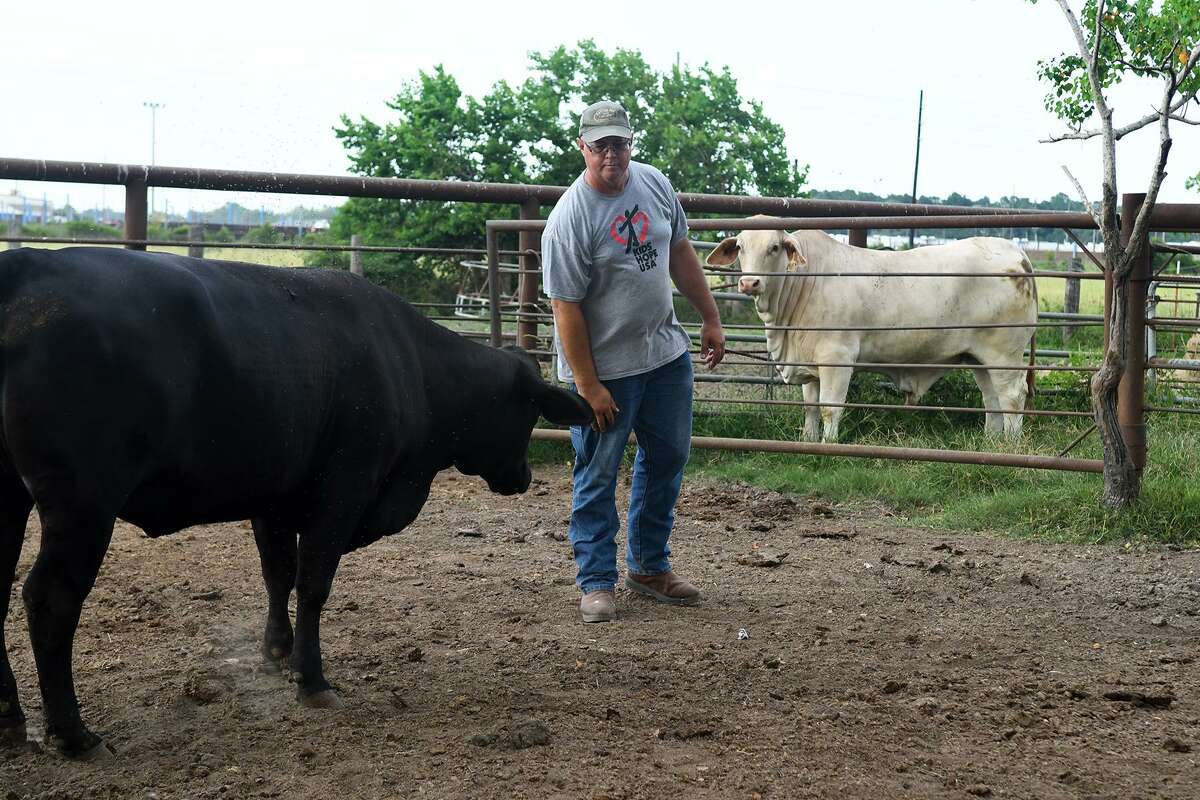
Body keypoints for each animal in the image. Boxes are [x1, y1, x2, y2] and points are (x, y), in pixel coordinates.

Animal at [0, 247, 590, 762]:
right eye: (528, 411)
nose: (524, 477)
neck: (411, 366)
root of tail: (26, 264)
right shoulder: (341, 493)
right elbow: (312, 584)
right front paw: (311, 679)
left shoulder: (275, 498)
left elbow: (277, 574)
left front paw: (277, 652)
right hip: (84, 505)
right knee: (50, 599)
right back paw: (73, 734)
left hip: (12, 498)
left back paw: (11, 720)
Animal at [705, 226, 1036, 443]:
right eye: (741, 248)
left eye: (774, 248)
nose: (749, 283)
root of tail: (1016, 253)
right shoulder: (809, 365)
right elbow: (810, 407)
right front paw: (809, 441)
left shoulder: (836, 358)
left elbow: (829, 408)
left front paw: (828, 444)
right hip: (978, 357)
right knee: (991, 398)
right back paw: (991, 441)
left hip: (1004, 353)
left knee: (1012, 396)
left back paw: (1010, 444)